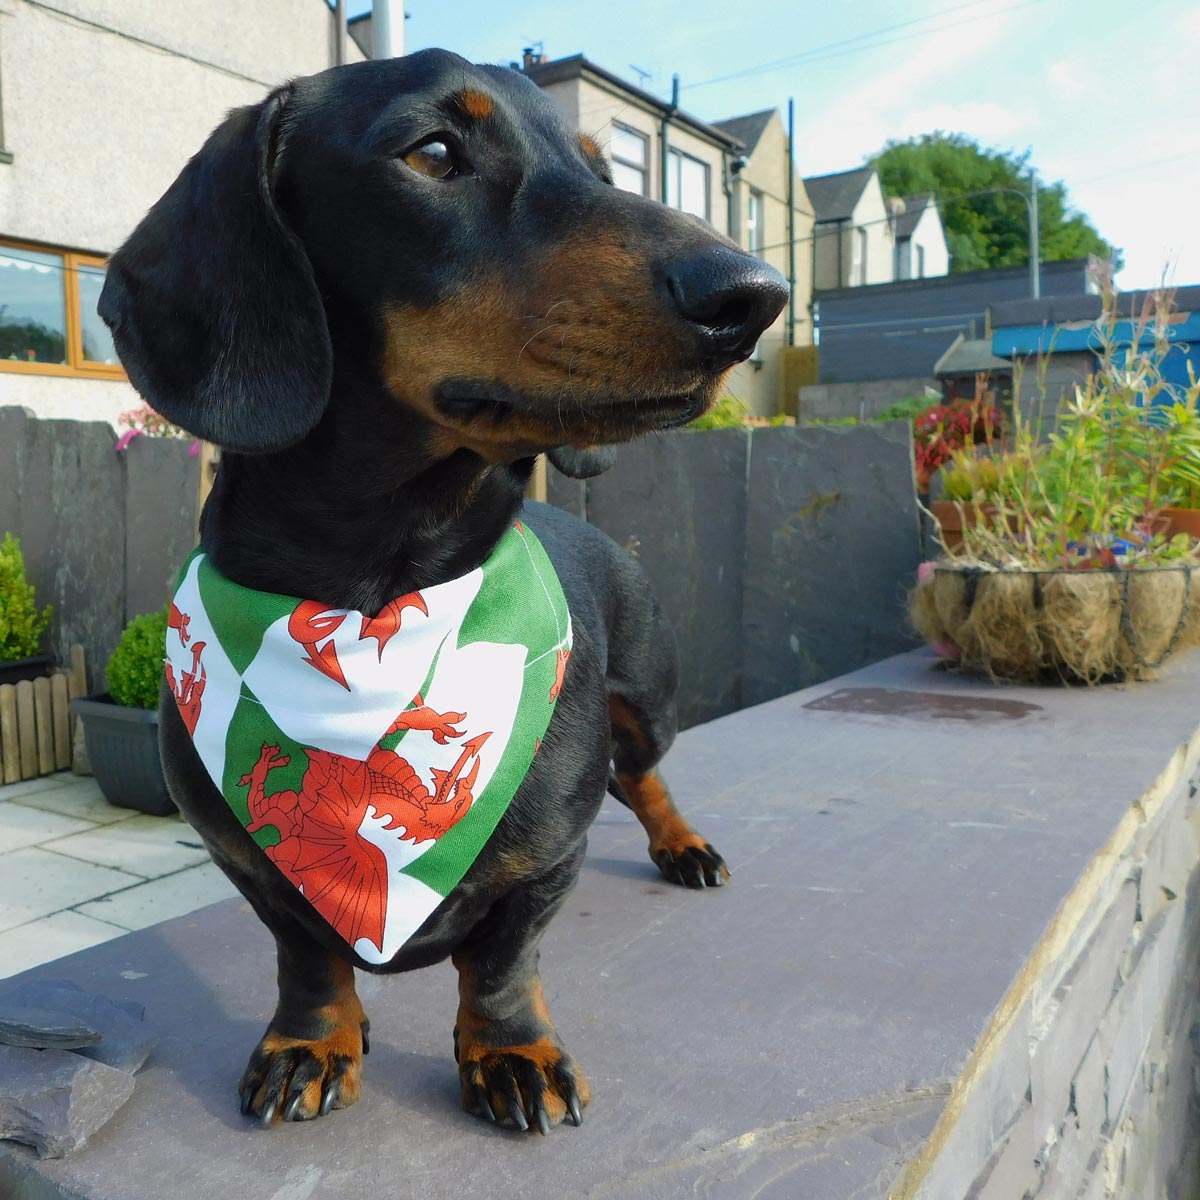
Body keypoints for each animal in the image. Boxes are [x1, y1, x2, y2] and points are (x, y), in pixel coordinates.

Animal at [96, 46, 787, 1132]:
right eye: (431, 153)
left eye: (603, 167)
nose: (754, 296)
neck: (373, 589)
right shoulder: (250, 862)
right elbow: (307, 953)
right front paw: (311, 1039)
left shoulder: (547, 861)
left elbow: (503, 961)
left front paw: (512, 1052)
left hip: (648, 708)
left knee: (644, 778)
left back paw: (684, 846)